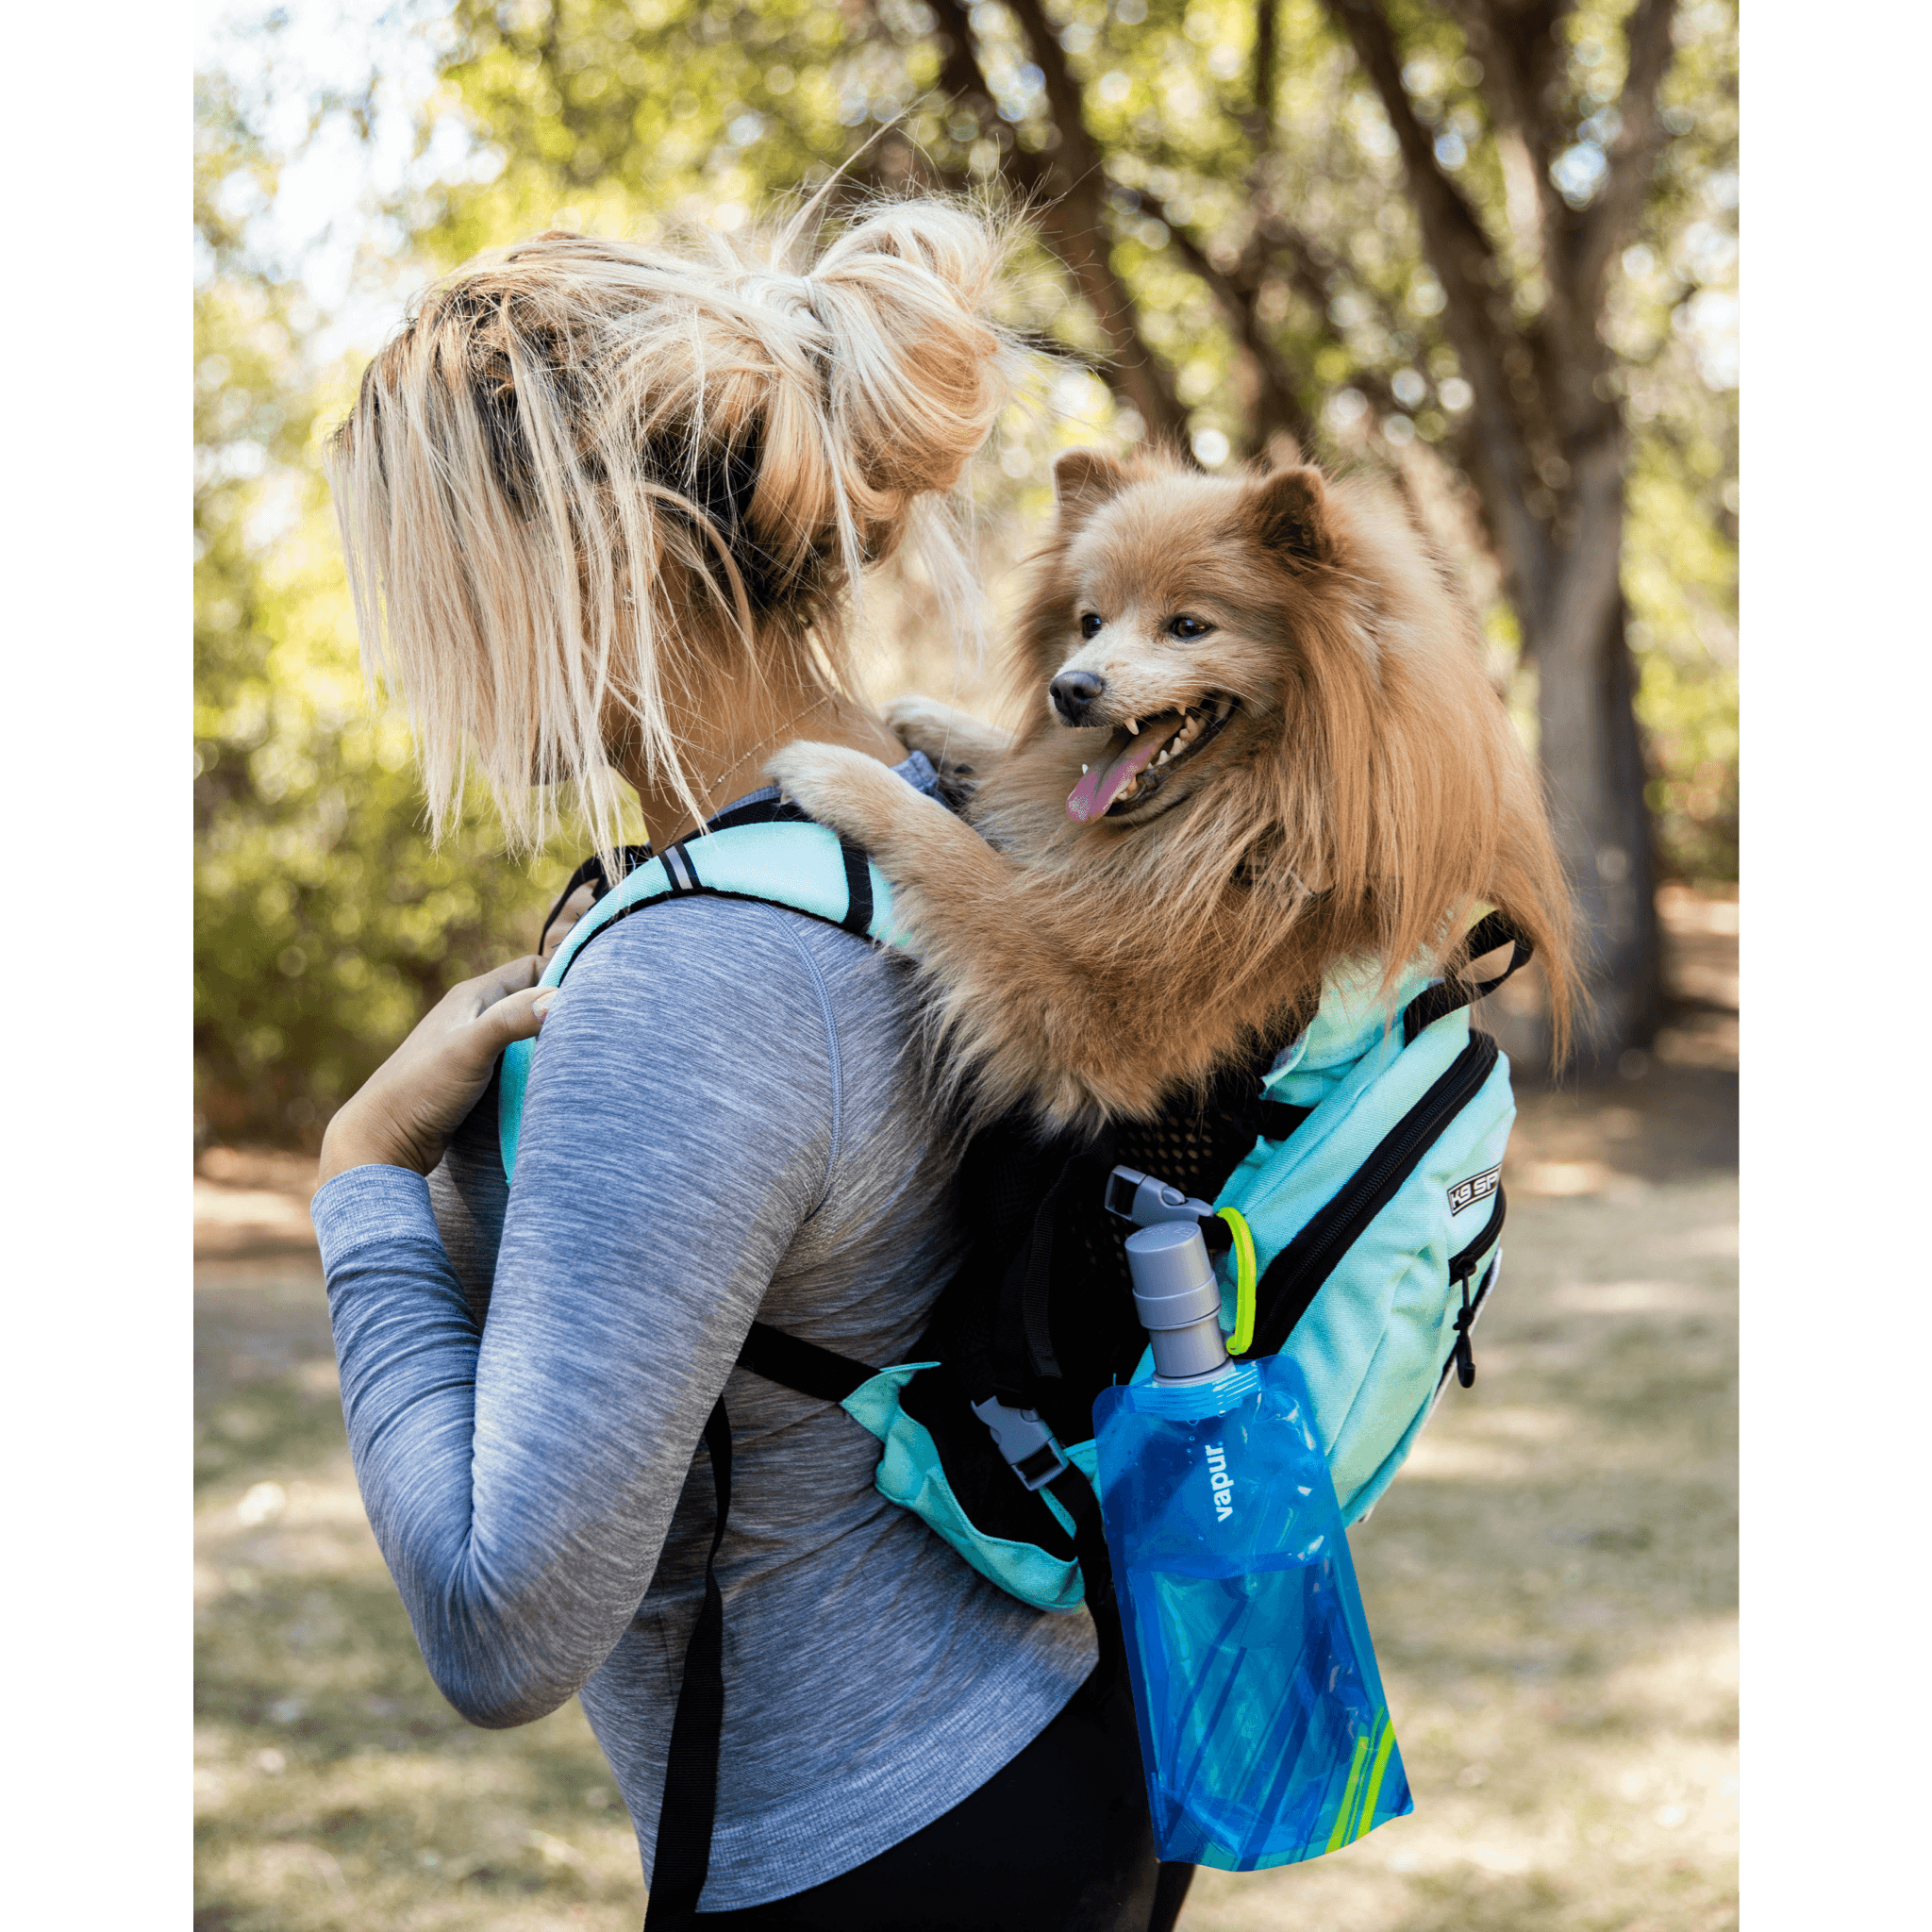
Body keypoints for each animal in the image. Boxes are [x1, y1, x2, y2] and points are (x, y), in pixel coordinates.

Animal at [760, 448, 1576, 1128]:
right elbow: (1022, 770)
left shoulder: (1096, 1002)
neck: (1261, 814)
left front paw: (839, 772)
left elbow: (954, 855)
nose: (1070, 688)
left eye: (1187, 627)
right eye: (1090, 622)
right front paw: (928, 718)